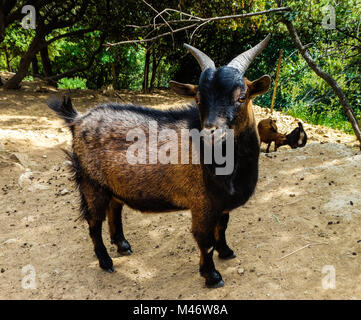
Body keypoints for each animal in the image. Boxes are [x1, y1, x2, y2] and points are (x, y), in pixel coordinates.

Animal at [47, 35, 272, 288]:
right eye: (198, 99)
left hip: (113, 185)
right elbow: (205, 240)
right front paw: (212, 276)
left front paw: (226, 252)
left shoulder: (222, 203)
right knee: (94, 222)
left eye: (241, 97)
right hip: (91, 183)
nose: (210, 133)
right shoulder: (202, 203)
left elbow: (222, 228)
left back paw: (122, 245)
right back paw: (105, 261)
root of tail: (77, 120)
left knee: (114, 209)